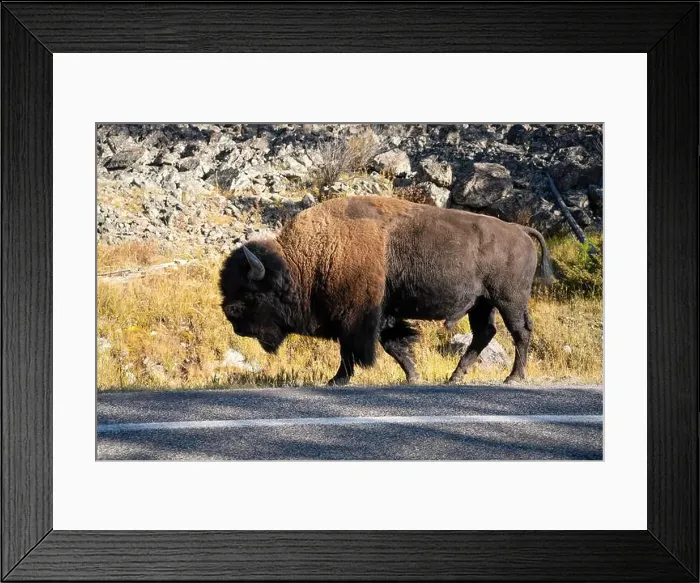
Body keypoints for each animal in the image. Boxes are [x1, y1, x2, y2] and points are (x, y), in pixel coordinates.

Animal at [220, 196, 554, 385]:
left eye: (250, 293)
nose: (233, 320)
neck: (306, 259)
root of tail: (520, 230)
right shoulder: (382, 315)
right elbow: (394, 344)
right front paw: (414, 377)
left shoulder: (356, 317)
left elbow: (352, 350)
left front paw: (336, 380)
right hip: (482, 303)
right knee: (485, 333)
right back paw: (455, 377)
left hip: (508, 299)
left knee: (520, 332)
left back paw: (513, 377)